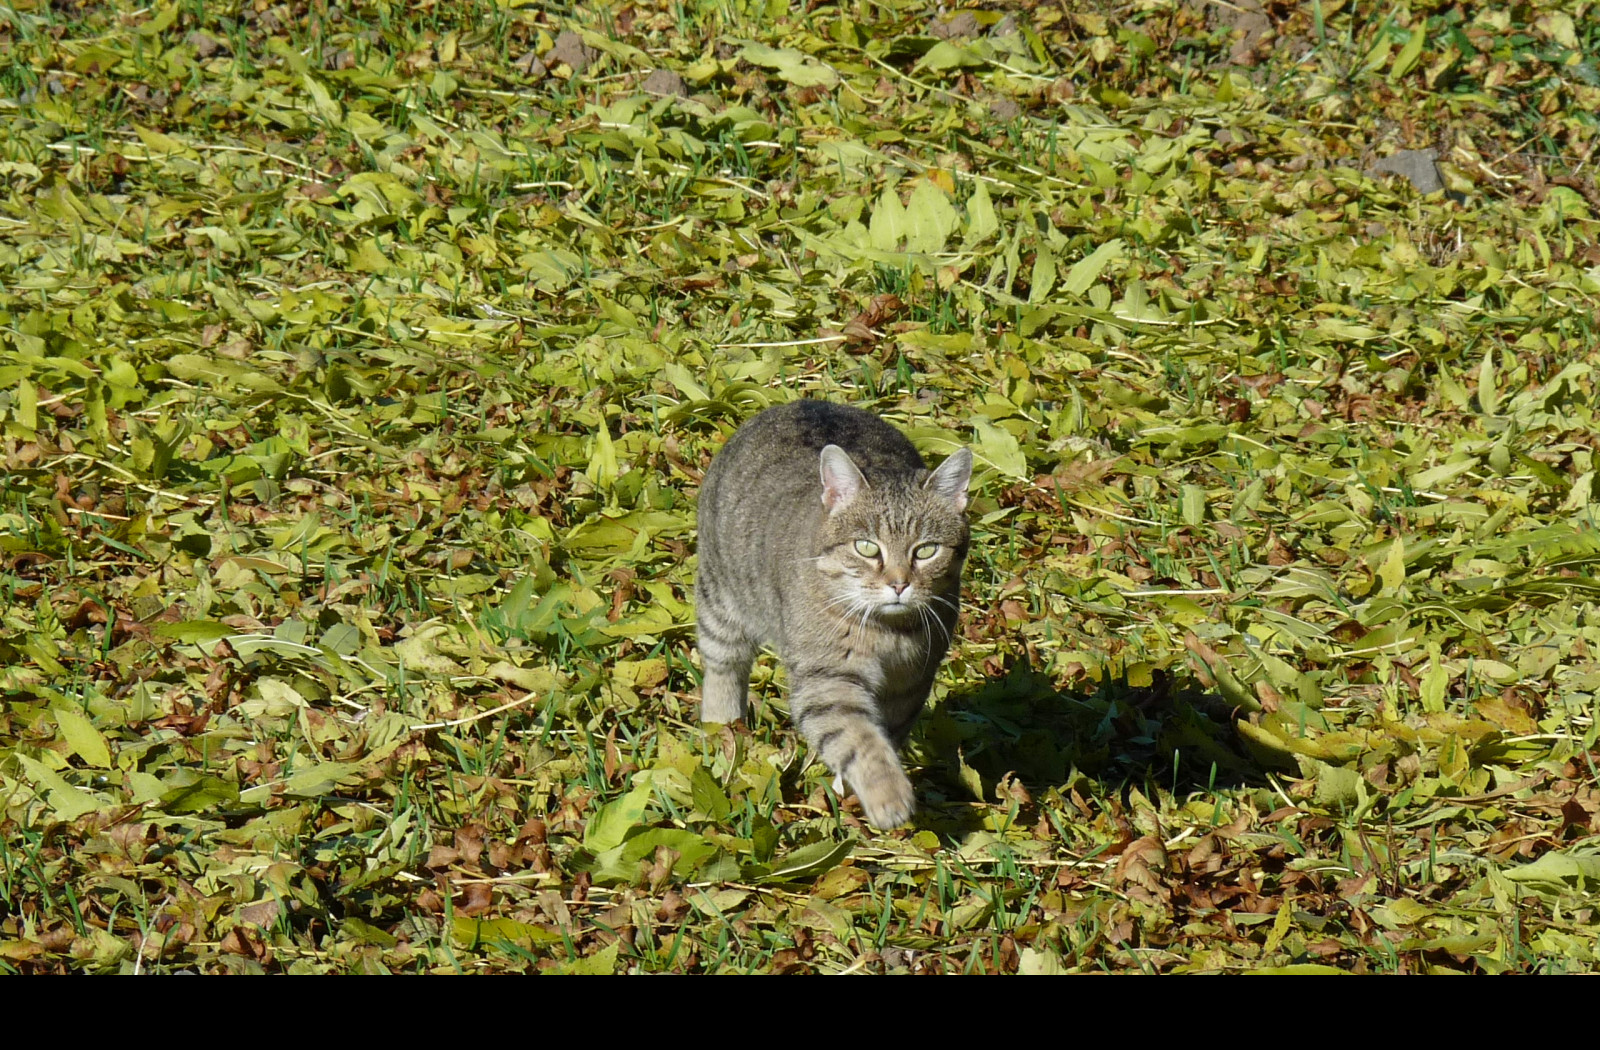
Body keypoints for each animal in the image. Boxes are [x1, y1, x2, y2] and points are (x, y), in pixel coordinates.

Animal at [697, 401, 972, 825]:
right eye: (866, 547)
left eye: (926, 550)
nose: (898, 584)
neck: (889, 633)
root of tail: (801, 402)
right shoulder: (827, 679)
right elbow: (859, 739)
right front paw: (887, 795)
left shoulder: (911, 682)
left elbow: (884, 734)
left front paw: (850, 788)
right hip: (722, 600)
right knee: (723, 665)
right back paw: (721, 727)